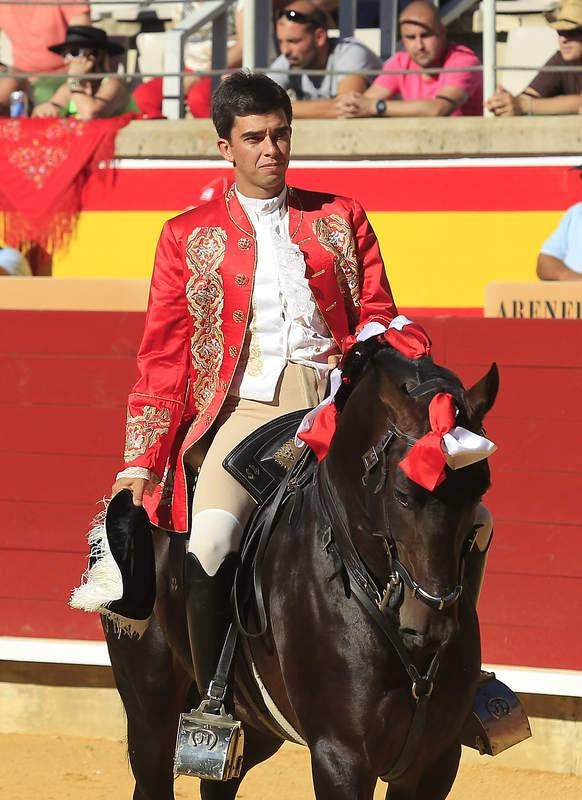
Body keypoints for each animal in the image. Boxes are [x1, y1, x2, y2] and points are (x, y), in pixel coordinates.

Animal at [106, 340, 502, 796]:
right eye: (404, 494)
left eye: (480, 489)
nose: (431, 628)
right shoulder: (340, 754)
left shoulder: (436, 759)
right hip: (148, 706)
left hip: (255, 728)